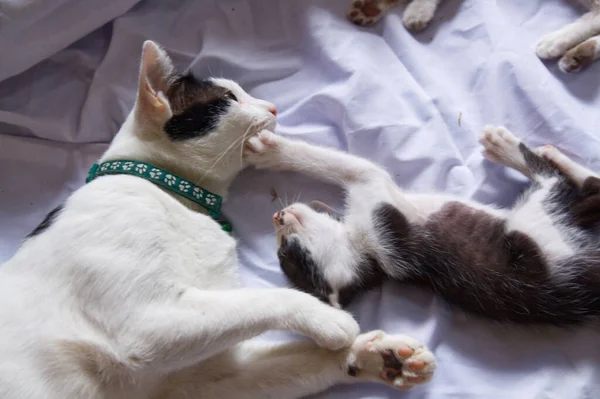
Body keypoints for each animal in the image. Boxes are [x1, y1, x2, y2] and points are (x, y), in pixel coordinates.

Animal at [0, 41, 436, 399]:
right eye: (229, 97)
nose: (273, 107)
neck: (178, 199)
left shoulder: (189, 380)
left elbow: (297, 359)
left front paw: (378, 358)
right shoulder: (145, 323)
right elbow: (262, 299)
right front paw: (330, 321)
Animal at [244, 126, 600, 326]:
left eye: (283, 254)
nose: (277, 216)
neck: (369, 256)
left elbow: (337, 164)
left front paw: (272, 151)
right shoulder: (381, 207)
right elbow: (345, 165)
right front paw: (276, 151)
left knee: (582, 184)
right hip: (538, 225)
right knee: (556, 181)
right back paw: (509, 147)